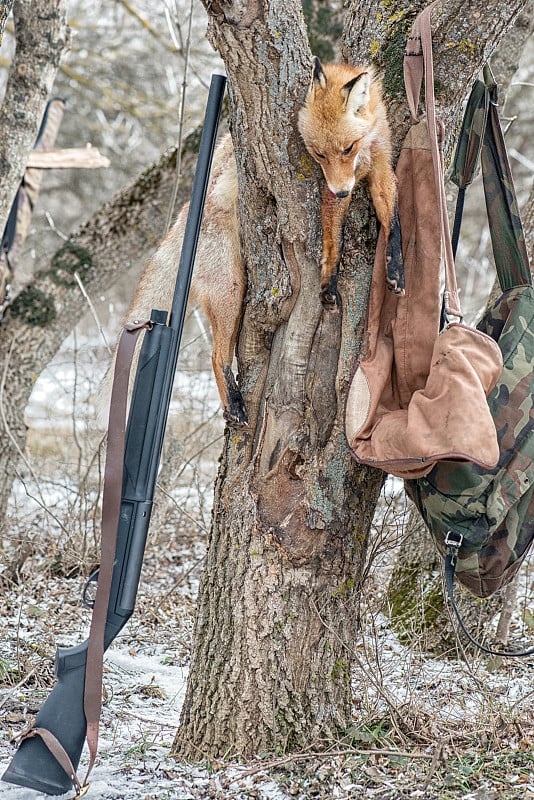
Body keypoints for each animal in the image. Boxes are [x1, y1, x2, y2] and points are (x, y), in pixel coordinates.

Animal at [117, 57, 402, 424]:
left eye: (347, 148)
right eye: (317, 155)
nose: (342, 191)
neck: (363, 154)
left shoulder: (379, 165)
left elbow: (392, 219)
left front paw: (396, 267)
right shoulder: (328, 188)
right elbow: (332, 243)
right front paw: (328, 280)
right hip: (232, 291)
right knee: (216, 356)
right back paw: (235, 403)